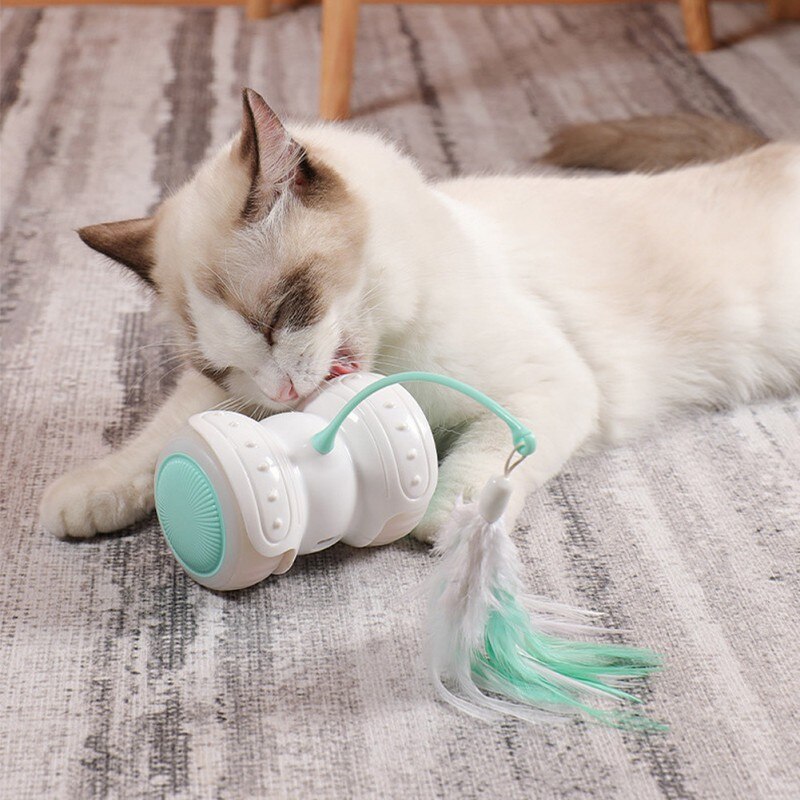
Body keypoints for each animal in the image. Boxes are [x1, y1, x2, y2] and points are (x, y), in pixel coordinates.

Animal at [42, 92, 800, 544]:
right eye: (223, 364)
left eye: (285, 313)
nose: (284, 392)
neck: (392, 357)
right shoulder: (219, 397)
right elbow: (162, 435)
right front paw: (86, 496)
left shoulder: (551, 385)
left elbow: (490, 459)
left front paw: (449, 521)